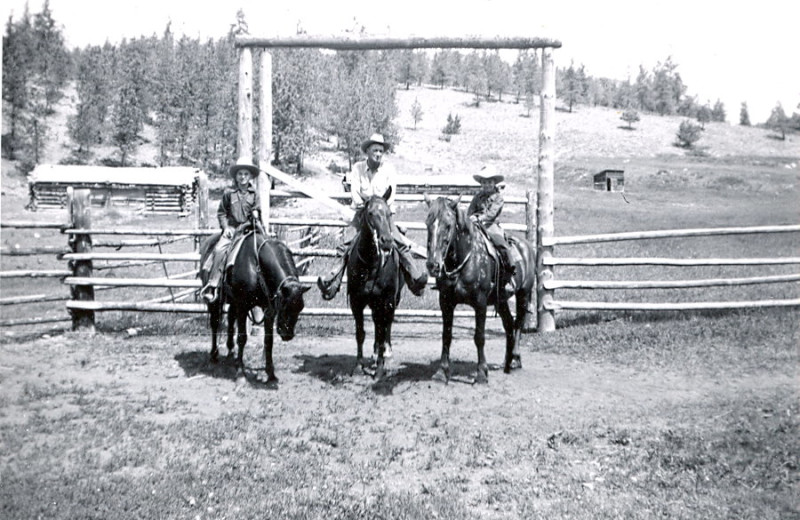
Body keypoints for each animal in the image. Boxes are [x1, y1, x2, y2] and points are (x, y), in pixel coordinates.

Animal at [199, 229, 310, 386]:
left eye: (300, 308)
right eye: (284, 305)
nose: (287, 334)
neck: (256, 265)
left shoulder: (269, 310)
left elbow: (268, 341)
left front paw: (271, 374)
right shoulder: (243, 305)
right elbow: (242, 338)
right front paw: (241, 373)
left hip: (232, 301)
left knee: (230, 320)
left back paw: (231, 353)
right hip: (215, 300)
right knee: (215, 323)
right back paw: (214, 356)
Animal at [346, 189, 404, 380]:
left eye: (388, 213)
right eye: (370, 213)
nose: (386, 241)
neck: (370, 265)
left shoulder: (384, 301)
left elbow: (381, 332)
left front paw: (379, 370)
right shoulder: (356, 301)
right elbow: (360, 333)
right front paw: (358, 366)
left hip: (393, 300)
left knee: (387, 325)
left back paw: (387, 354)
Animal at [422, 193, 536, 384]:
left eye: (448, 225)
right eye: (428, 223)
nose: (433, 265)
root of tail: (527, 246)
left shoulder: (480, 303)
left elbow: (479, 337)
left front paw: (481, 373)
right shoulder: (445, 302)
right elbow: (446, 336)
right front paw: (441, 372)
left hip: (523, 295)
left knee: (518, 324)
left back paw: (515, 359)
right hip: (501, 300)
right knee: (509, 324)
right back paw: (507, 361)